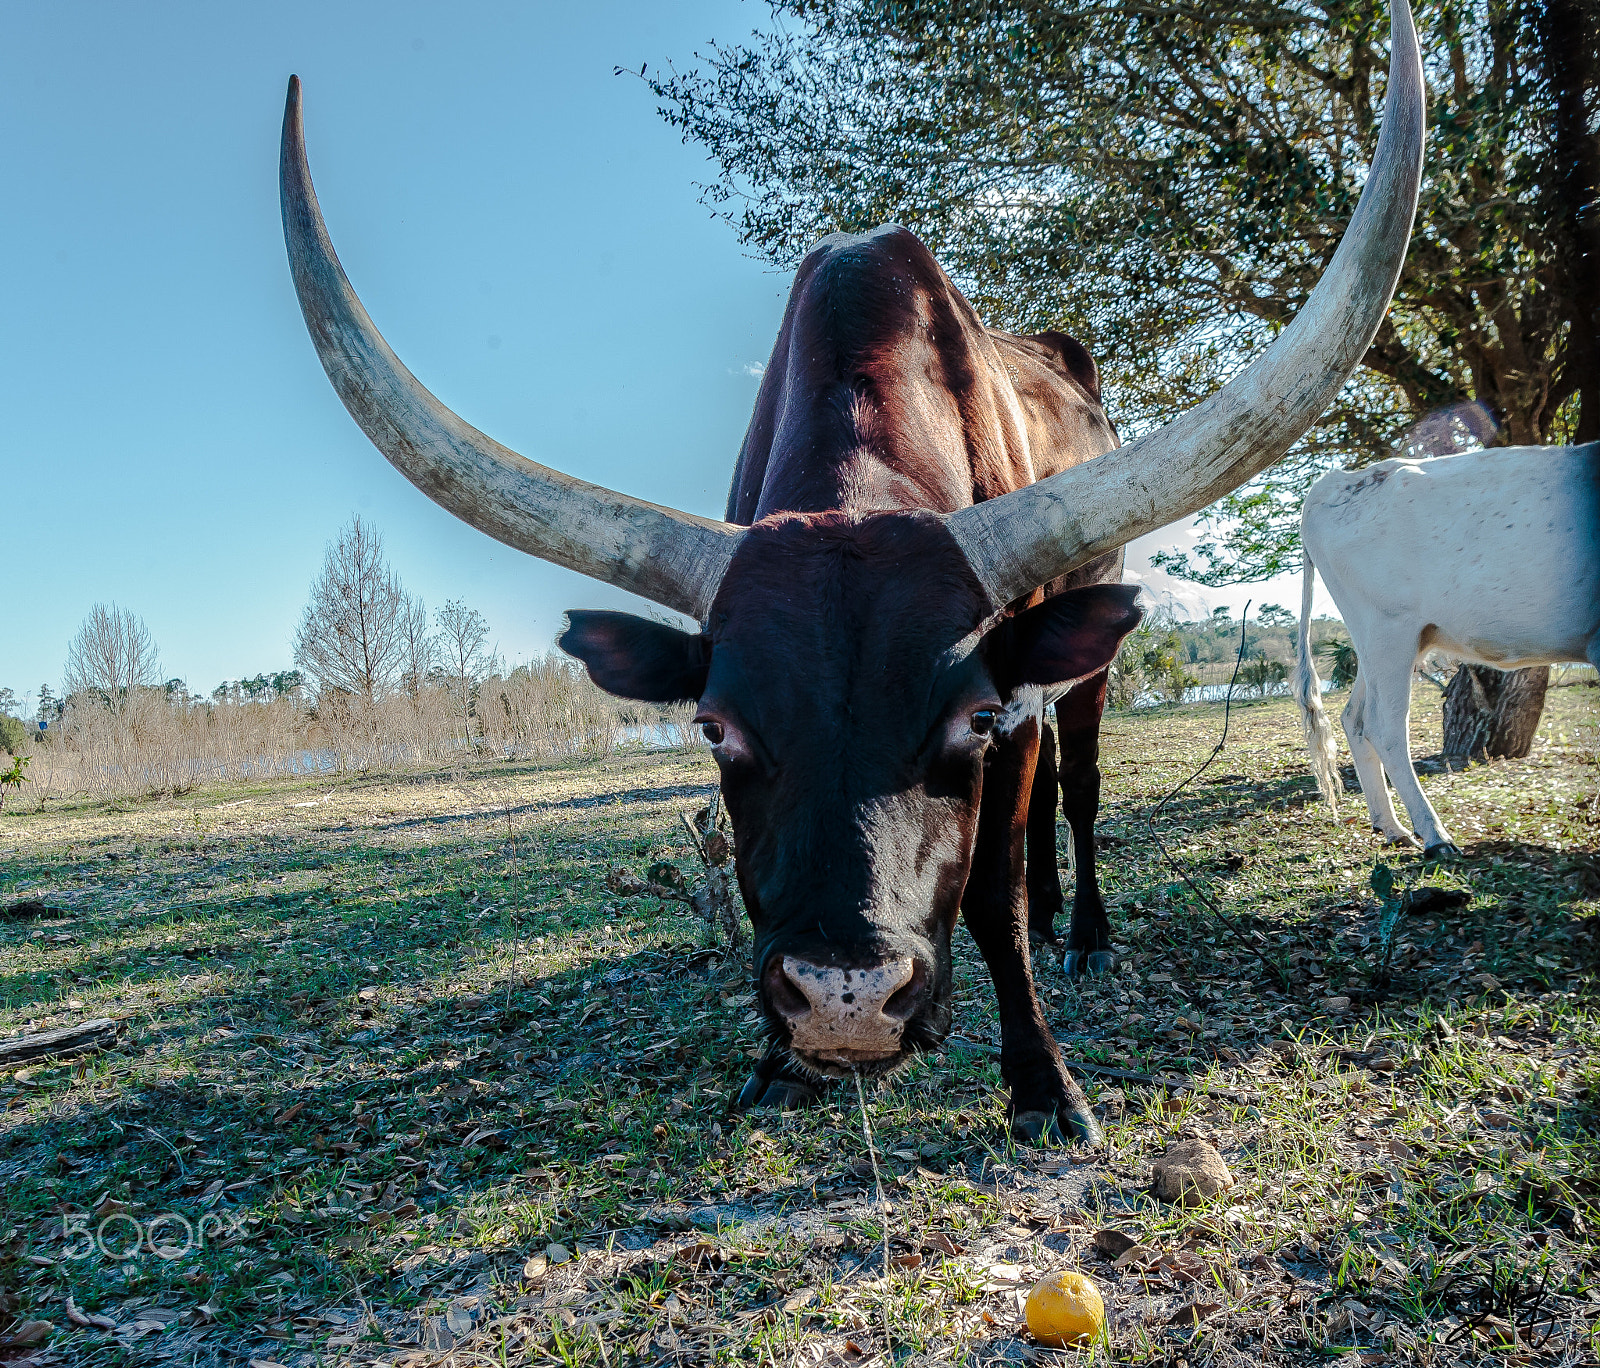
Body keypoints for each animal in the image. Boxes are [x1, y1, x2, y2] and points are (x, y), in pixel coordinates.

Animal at [279, 0, 1422, 1145]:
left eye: (969, 717)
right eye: (713, 727)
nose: (844, 1001)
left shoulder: (1009, 698)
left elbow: (993, 895)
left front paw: (1042, 1082)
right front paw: (777, 1065)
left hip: (1086, 664)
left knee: (1080, 785)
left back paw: (1084, 931)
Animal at [1294, 442, 1600, 856]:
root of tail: (1336, 479)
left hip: (1383, 642)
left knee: (1354, 717)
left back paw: (1391, 826)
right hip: (1388, 629)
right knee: (1383, 725)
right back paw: (1435, 835)